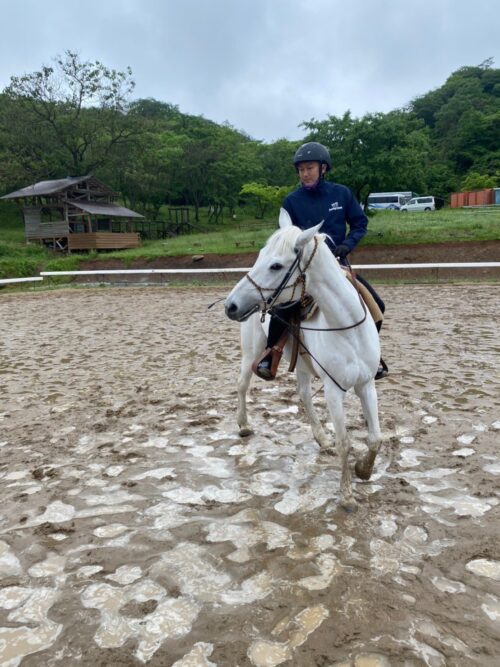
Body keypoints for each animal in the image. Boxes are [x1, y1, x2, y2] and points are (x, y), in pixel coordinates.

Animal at [224, 208, 382, 511]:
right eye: (260, 255)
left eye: (276, 266)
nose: (230, 305)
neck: (347, 329)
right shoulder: (334, 390)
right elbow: (345, 442)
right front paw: (347, 496)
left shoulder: (366, 384)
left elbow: (375, 438)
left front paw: (364, 470)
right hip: (251, 353)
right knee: (241, 385)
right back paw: (244, 426)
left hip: (304, 367)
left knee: (304, 394)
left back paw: (321, 439)